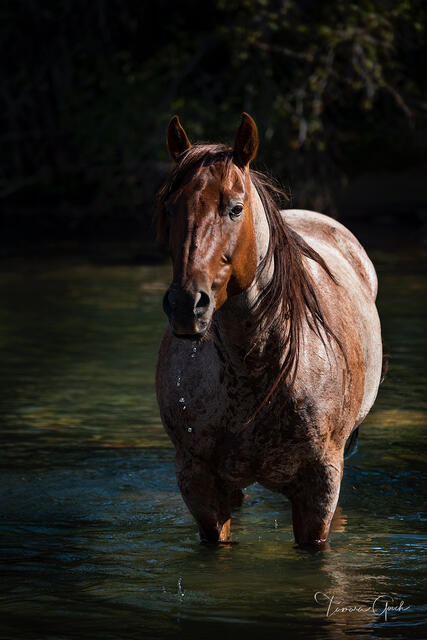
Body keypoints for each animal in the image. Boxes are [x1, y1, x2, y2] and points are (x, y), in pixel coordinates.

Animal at [155, 113, 383, 547]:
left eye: (235, 208)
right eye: (169, 209)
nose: (186, 306)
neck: (257, 371)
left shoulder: (320, 489)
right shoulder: (200, 486)